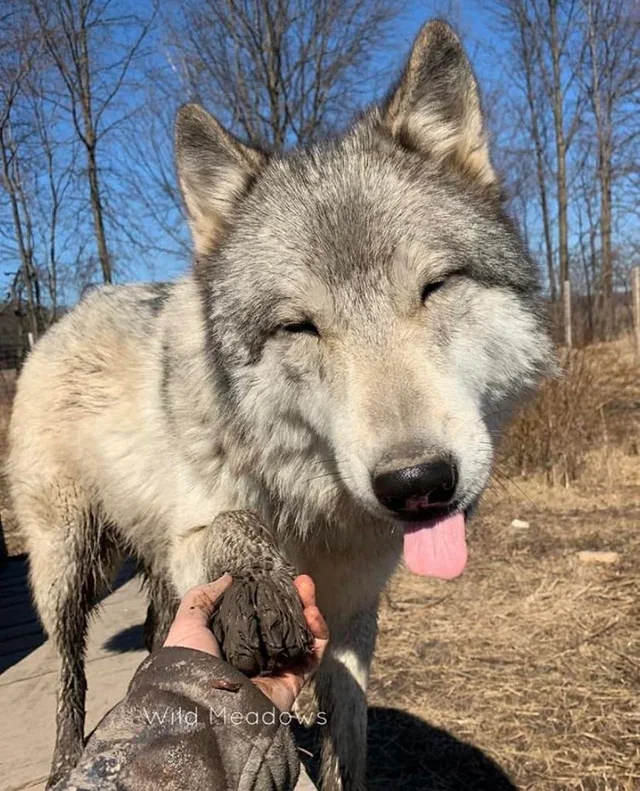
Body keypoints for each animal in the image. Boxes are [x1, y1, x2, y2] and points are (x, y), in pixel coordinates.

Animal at [7, 21, 552, 791]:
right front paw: (257, 589)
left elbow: (346, 733)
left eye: (435, 287)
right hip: (67, 564)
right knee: (70, 668)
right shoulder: (194, 530)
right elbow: (232, 523)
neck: (314, 508)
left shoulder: (355, 614)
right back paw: (63, 760)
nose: (417, 483)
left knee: (154, 635)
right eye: (299, 327)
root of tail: (71, 309)